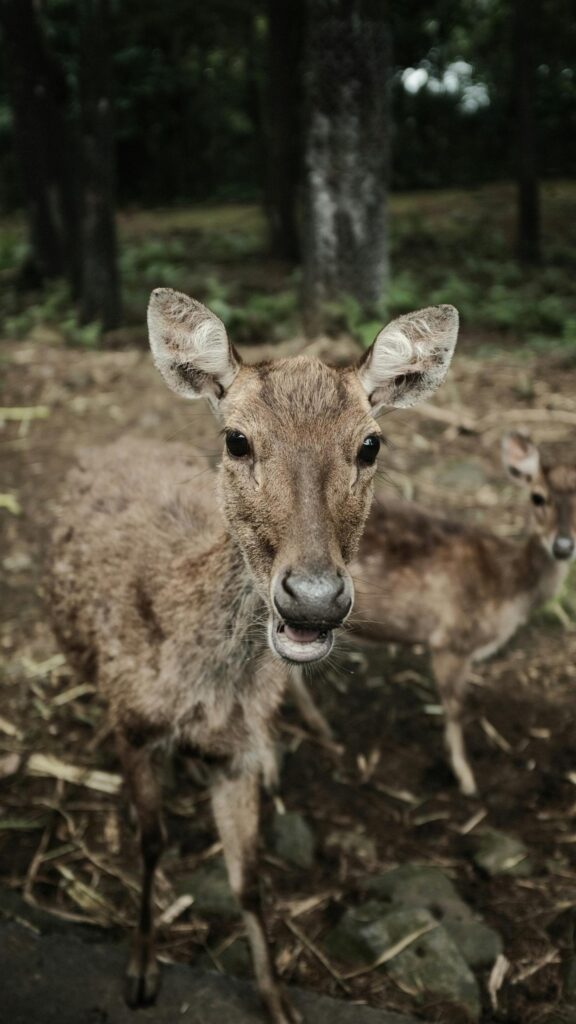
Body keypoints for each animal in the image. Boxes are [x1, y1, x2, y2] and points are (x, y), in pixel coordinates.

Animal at [47, 288, 458, 1024]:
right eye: (236, 438)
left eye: (371, 443)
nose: (315, 599)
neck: (202, 688)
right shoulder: (132, 723)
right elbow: (151, 844)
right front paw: (141, 971)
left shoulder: (233, 754)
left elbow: (249, 882)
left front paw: (276, 999)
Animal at [289, 430, 576, 799]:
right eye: (538, 497)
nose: (562, 546)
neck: (507, 587)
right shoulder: (450, 640)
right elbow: (456, 709)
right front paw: (466, 779)